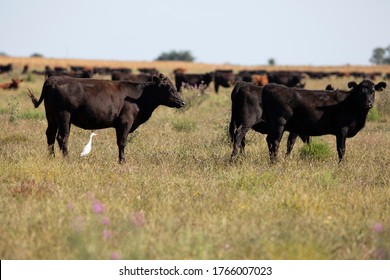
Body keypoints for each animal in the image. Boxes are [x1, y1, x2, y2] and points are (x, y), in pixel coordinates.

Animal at [28, 73, 185, 163]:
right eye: (169, 88)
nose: (183, 102)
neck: (139, 98)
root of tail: (52, 79)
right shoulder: (125, 122)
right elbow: (122, 142)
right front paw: (122, 161)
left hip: (51, 116)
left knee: (50, 135)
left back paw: (52, 157)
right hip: (64, 116)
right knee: (62, 137)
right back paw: (67, 159)